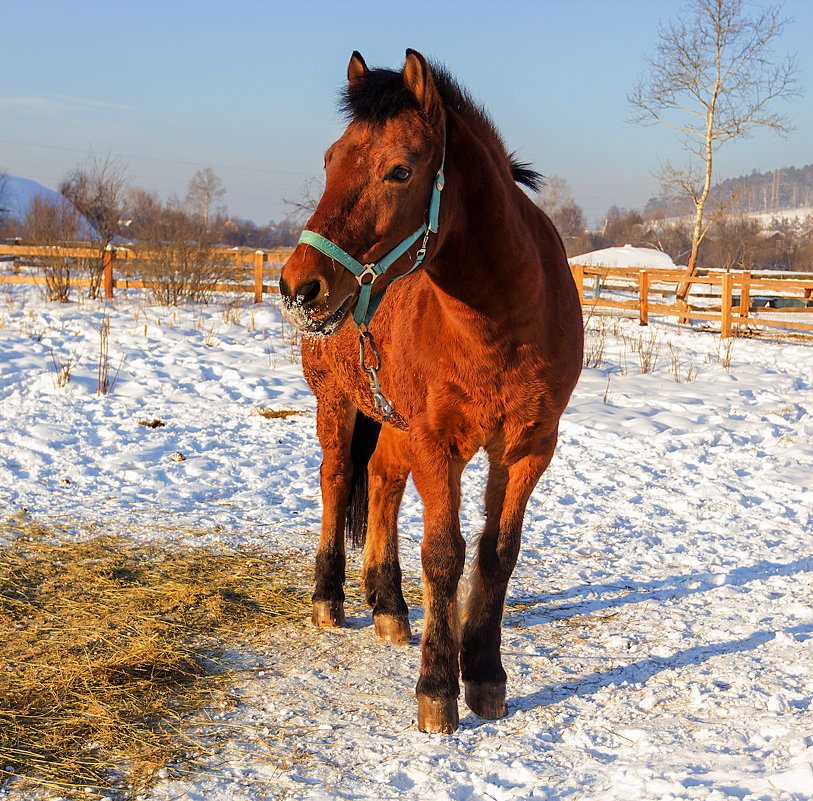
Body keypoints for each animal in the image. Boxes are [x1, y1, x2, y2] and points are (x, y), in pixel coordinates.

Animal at [280, 50, 584, 736]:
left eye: (399, 169)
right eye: (330, 160)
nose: (299, 286)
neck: (501, 320)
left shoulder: (528, 449)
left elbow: (497, 555)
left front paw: (486, 675)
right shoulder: (437, 443)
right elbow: (445, 555)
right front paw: (438, 688)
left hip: (394, 424)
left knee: (382, 482)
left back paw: (389, 605)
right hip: (338, 405)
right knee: (338, 479)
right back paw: (329, 598)